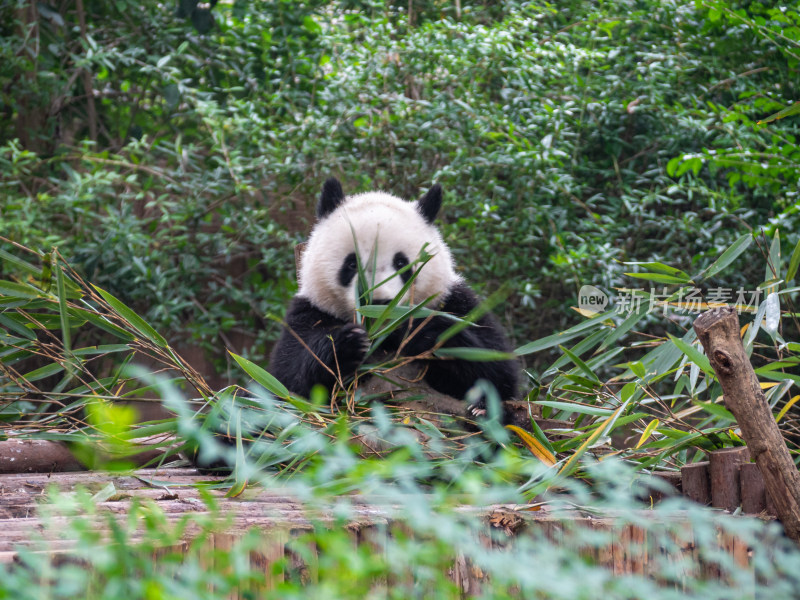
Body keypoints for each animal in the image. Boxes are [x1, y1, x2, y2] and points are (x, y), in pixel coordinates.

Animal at [268, 178, 520, 420]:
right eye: (352, 264)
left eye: (401, 263)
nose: (379, 303)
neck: (386, 336)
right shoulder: (310, 311)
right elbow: (288, 379)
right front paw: (347, 344)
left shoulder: (455, 302)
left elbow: (497, 371)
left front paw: (424, 333)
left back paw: (482, 413)